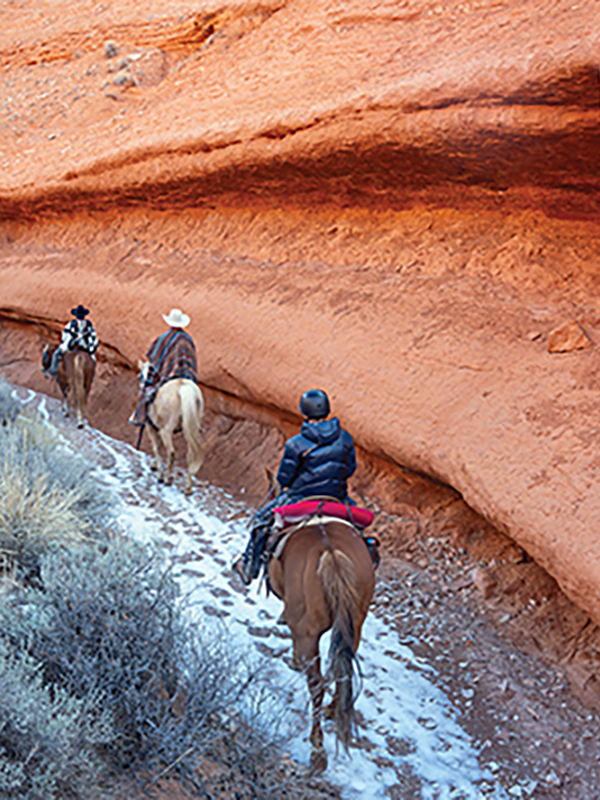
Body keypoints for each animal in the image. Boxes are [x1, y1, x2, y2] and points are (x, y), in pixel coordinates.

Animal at [138, 360, 206, 494]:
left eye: (142, 375)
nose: (143, 385)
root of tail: (184, 387)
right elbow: (158, 447)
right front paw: (154, 465)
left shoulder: (152, 429)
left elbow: (156, 449)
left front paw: (159, 474)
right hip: (190, 427)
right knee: (191, 454)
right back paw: (188, 486)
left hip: (166, 431)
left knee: (172, 453)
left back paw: (167, 478)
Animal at [268, 516, 376, 772]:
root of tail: (330, 552)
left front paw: (295, 660)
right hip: (354, 624)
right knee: (343, 668)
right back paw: (333, 710)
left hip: (309, 632)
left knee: (316, 685)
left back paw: (317, 742)